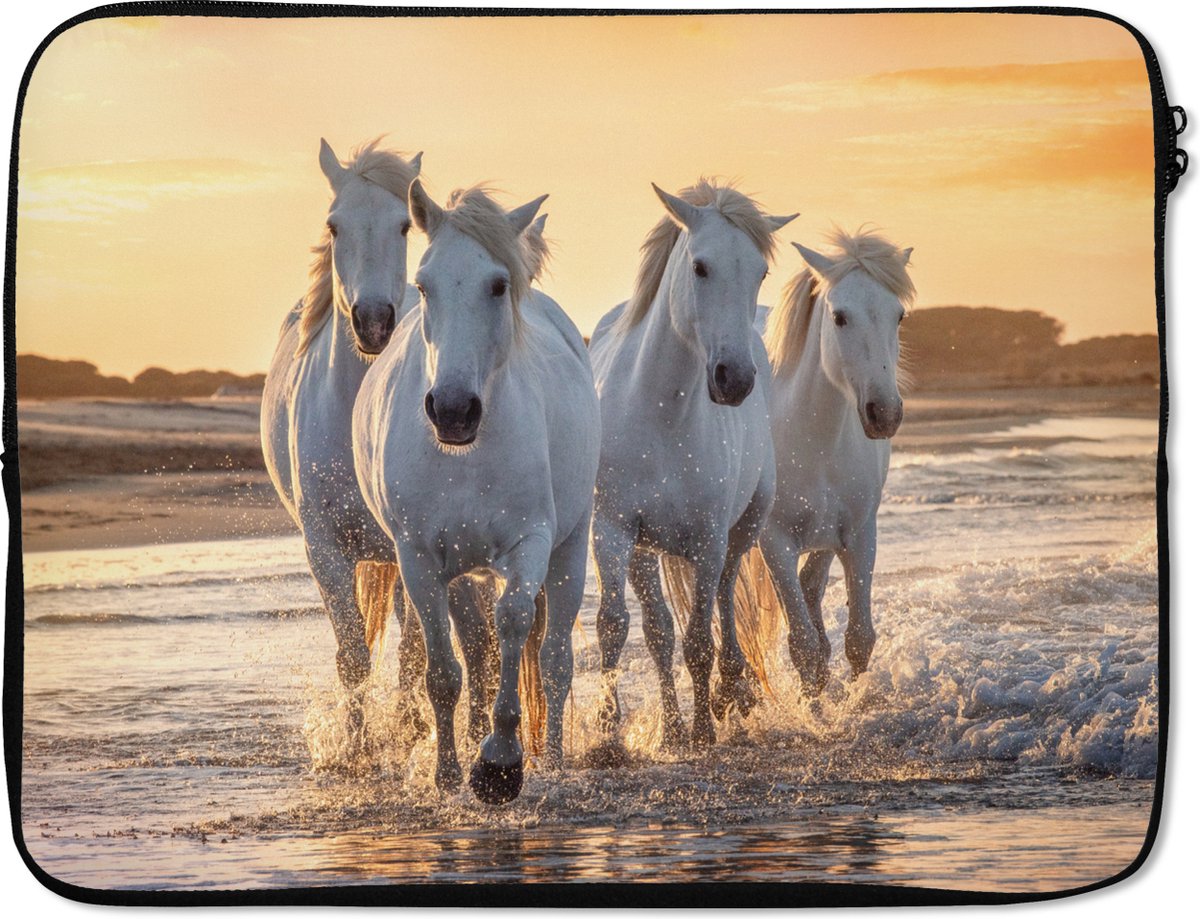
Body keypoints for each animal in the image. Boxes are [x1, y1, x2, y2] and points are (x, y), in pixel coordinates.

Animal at [260, 139, 499, 752]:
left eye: (403, 227)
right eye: (334, 224)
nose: (372, 322)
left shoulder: (416, 548)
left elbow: (415, 650)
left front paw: (412, 731)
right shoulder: (324, 550)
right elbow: (352, 656)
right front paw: (356, 748)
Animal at [353, 182, 600, 804]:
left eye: (497, 284)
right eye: (423, 284)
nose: (453, 410)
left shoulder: (530, 544)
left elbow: (514, 624)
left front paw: (499, 763)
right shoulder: (418, 558)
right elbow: (444, 670)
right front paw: (447, 774)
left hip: (570, 549)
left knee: (555, 660)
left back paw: (553, 758)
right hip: (464, 572)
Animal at [588, 179, 799, 751]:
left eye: (760, 272)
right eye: (700, 266)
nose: (735, 379)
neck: (661, 412)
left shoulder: (707, 539)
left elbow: (701, 638)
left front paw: (705, 728)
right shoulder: (613, 530)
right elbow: (617, 626)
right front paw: (609, 737)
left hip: (742, 529)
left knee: (724, 599)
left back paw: (730, 692)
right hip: (645, 550)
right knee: (660, 629)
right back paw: (674, 726)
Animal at [747, 229, 915, 692]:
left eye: (898, 316)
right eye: (839, 317)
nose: (884, 413)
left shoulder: (858, 535)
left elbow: (859, 639)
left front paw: (855, 701)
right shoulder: (775, 543)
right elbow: (802, 646)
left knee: (812, 588)